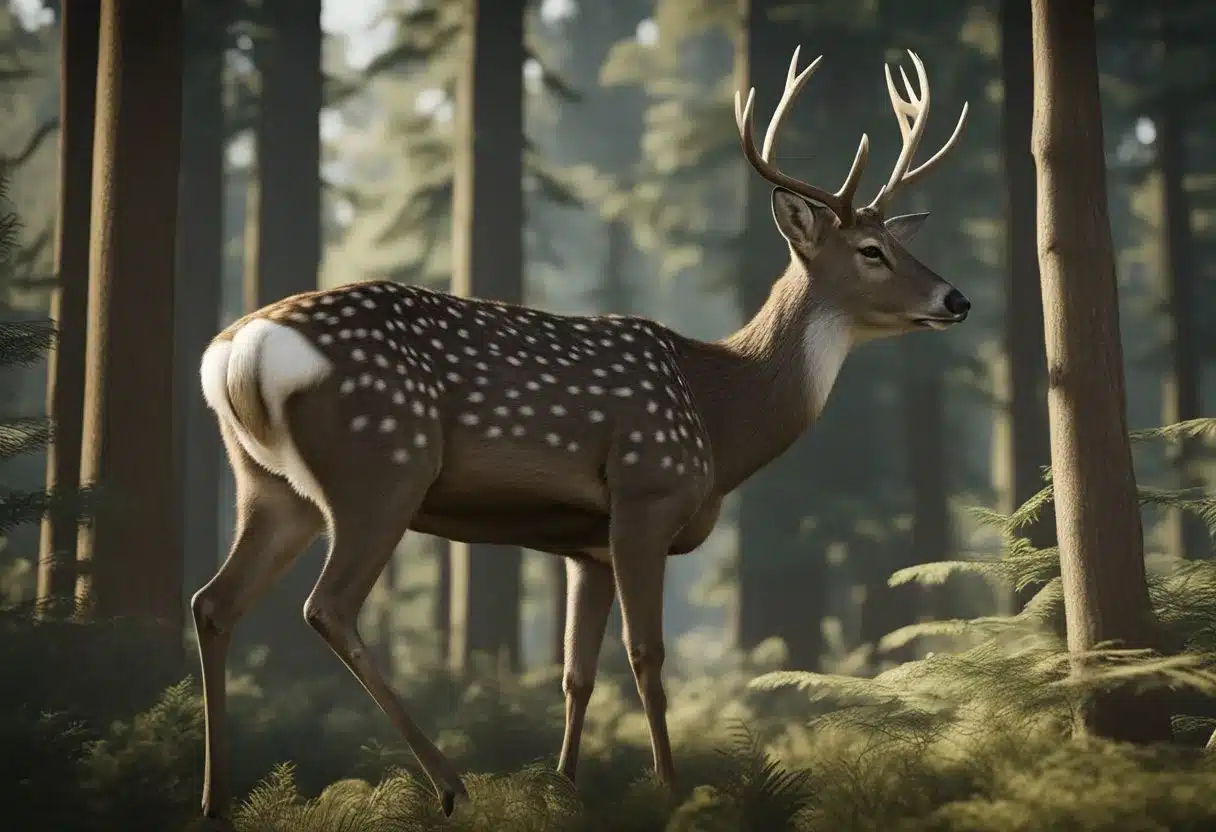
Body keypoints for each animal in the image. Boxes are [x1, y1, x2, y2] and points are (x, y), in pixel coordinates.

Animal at [190, 46, 969, 820]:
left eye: (894, 241)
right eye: (870, 250)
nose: (956, 298)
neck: (718, 417)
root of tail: (237, 350)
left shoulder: (583, 546)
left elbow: (576, 672)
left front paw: (564, 788)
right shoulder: (645, 494)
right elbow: (646, 655)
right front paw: (670, 790)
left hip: (268, 485)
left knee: (214, 603)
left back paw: (215, 798)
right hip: (381, 466)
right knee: (328, 607)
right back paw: (449, 784)